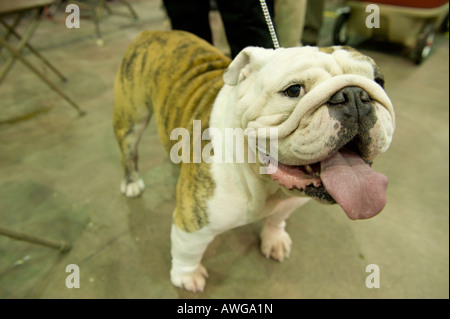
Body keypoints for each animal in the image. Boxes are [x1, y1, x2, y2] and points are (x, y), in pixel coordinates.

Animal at [114, 30, 396, 292]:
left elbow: (276, 220)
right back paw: (131, 183)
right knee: (129, 151)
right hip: (132, 119)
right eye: (294, 90)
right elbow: (187, 251)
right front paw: (187, 277)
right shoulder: (192, 225)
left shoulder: (287, 204)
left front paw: (274, 239)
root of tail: (153, 32)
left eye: (380, 81)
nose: (355, 95)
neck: (264, 181)